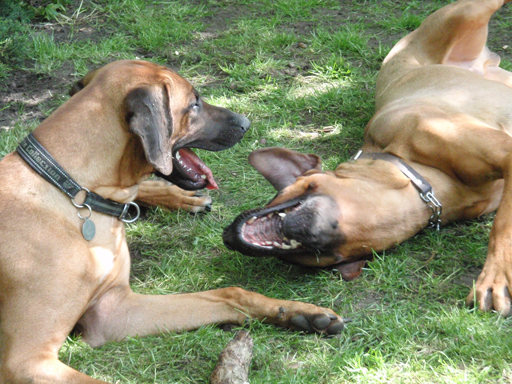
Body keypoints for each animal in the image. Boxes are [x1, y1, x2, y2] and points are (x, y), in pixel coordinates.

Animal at [0, 58, 346, 382]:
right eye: (194, 103)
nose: (246, 122)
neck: (76, 191)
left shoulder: (114, 309)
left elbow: (230, 292)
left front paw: (301, 312)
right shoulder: (27, 360)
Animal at [225, 0, 512, 316]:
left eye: (277, 194)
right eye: (320, 256)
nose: (226, 236)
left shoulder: (502, 152)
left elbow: (501, 227)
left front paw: (494, 277)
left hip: (467, 13)